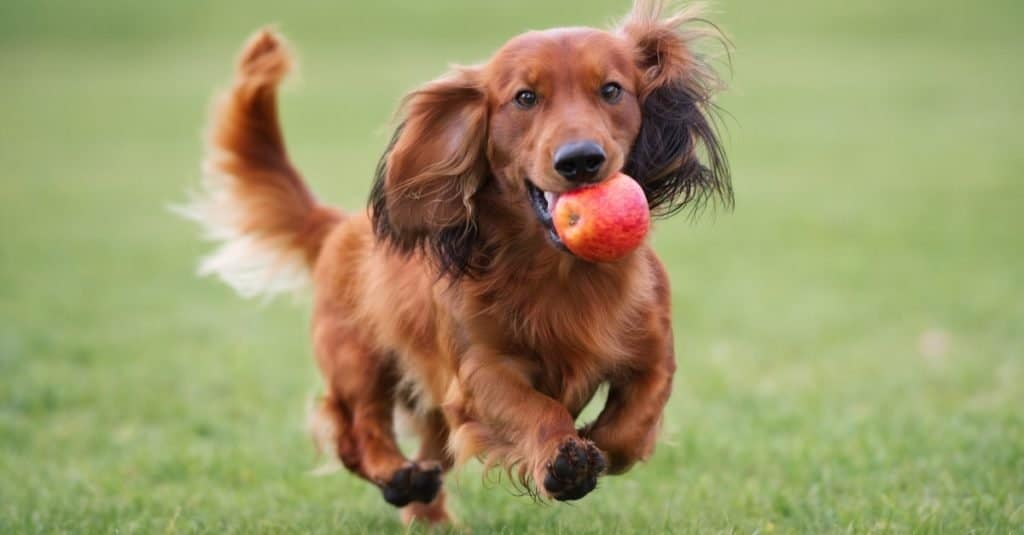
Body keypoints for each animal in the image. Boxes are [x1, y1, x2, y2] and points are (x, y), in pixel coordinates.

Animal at [182, 0, 729, 522]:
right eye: (525, 97)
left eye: (612, 90)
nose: (580, 160)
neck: (561, 273)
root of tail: (337, 224)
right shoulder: (480, 372)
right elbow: (535, 409)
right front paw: (563, 459)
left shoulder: (655, 355)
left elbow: (630, 429)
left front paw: (596, 442)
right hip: (358, 358)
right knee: (356, 430)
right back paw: (397, 475)